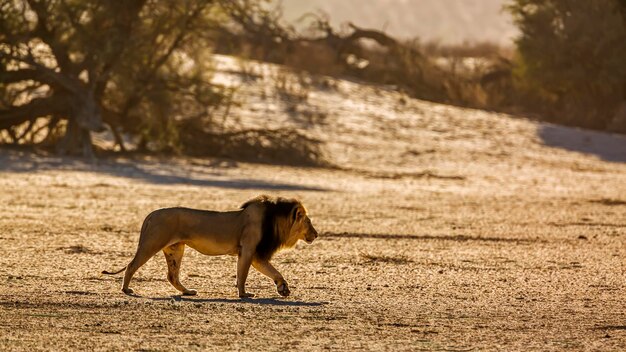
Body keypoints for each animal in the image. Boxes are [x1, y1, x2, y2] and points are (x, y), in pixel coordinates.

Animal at [103, 194, 316, 298]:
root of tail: (150, 215)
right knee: (131, 265)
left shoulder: (255, 255)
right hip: (152, 243)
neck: (276, 221)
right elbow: (243, 275)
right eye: (308, 221)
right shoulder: (248, 250)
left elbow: (273, 271)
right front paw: (243, 294)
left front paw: (283, 288)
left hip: (175, 249)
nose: (317, 234)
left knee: (172, 276)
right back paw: (126, 290)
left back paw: (188, 292)